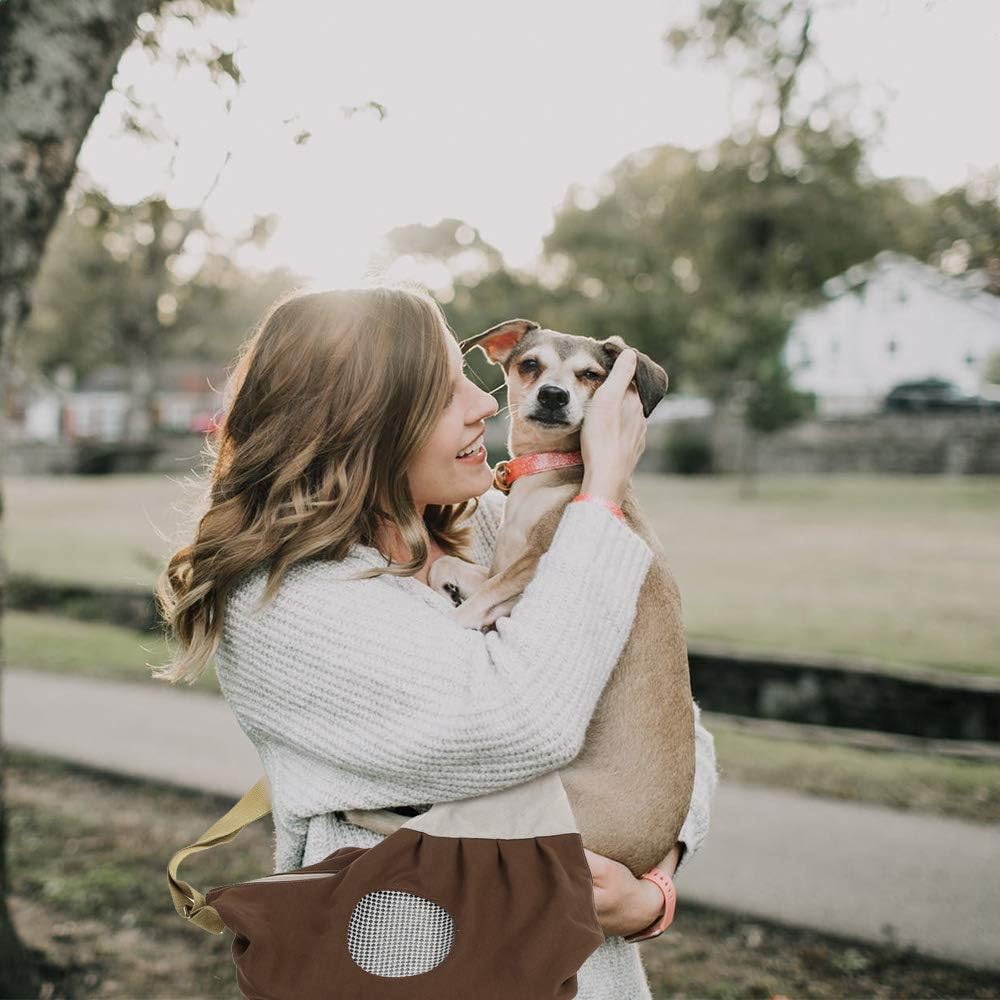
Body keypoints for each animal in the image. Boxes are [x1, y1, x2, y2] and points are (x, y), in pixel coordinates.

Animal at [348, 320, 700, 876]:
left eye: (591, 375)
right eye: (530, 364)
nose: (553, 395)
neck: (549, 471)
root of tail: (630, 860)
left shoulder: (531, 568)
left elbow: (478, 606)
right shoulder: (501, 568)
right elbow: (451, 568)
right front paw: (443, 584)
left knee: (418, 829)